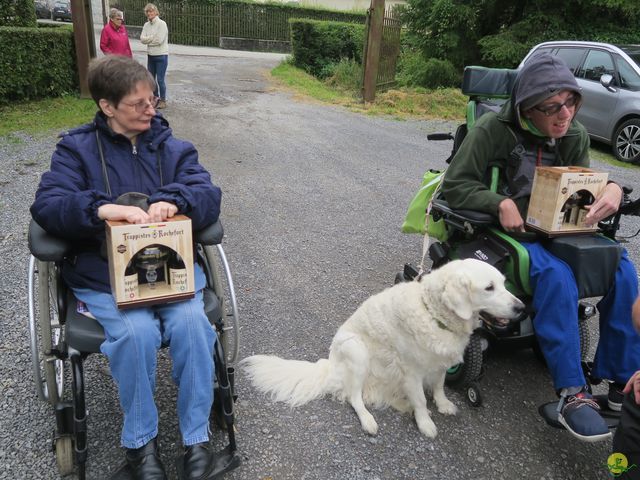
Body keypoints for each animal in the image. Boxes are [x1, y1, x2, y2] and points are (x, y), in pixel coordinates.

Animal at [242, 258, 524, 438]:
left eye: (504, 283)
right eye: (489, 288)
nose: (521, 308)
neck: (433, 314)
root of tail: (330, 366)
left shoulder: (440, 362)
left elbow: (439, 386)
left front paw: (443, 404)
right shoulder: (412, 371)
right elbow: (421, 399)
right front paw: (425, 423)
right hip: (357, 351)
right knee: (354, 398)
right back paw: (369, 420)